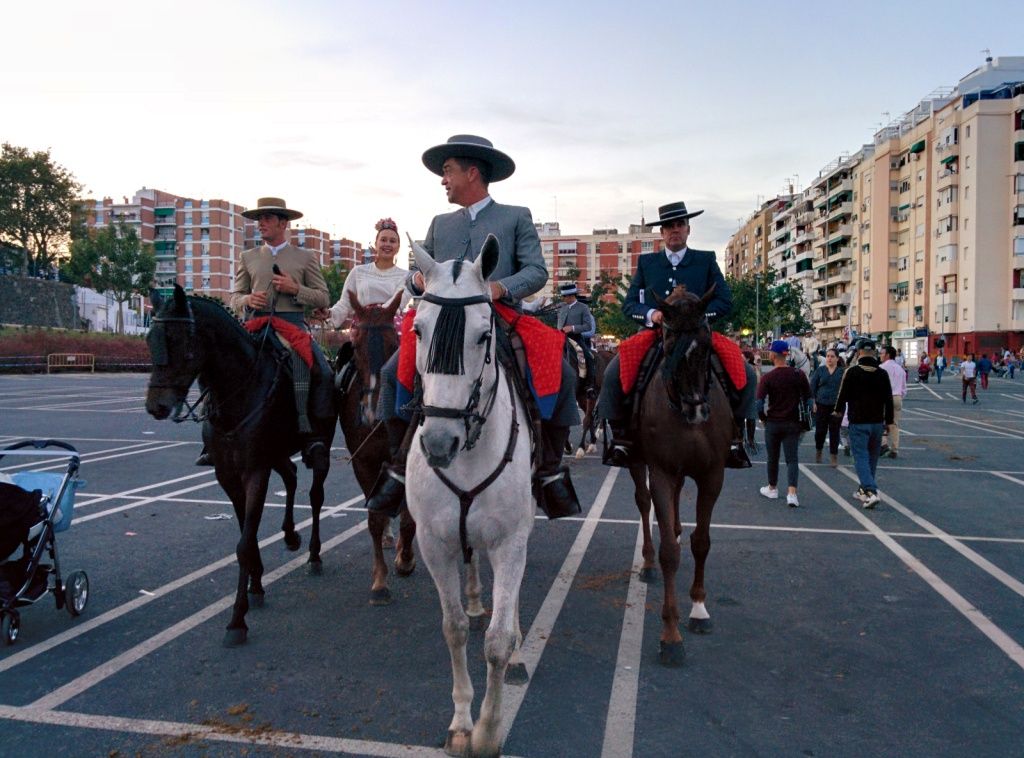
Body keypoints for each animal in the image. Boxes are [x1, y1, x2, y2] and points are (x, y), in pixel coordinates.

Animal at [335, 290, 415, 602]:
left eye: (394, 343)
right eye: (355, 346)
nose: (373, 411)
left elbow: (408, 514)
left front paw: (406, 560)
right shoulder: (363, 462)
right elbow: (374, 520)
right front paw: (380, 580)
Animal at [622, 282, 729, 663]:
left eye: (707, 344)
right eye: (668, 346)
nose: (696, 409)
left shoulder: (713, 475)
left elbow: (702, 542)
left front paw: (699, 608)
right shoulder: (661, 472)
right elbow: (670, 552)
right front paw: (670, 635)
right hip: (638, 463)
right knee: (643, 504)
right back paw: (648, 562)